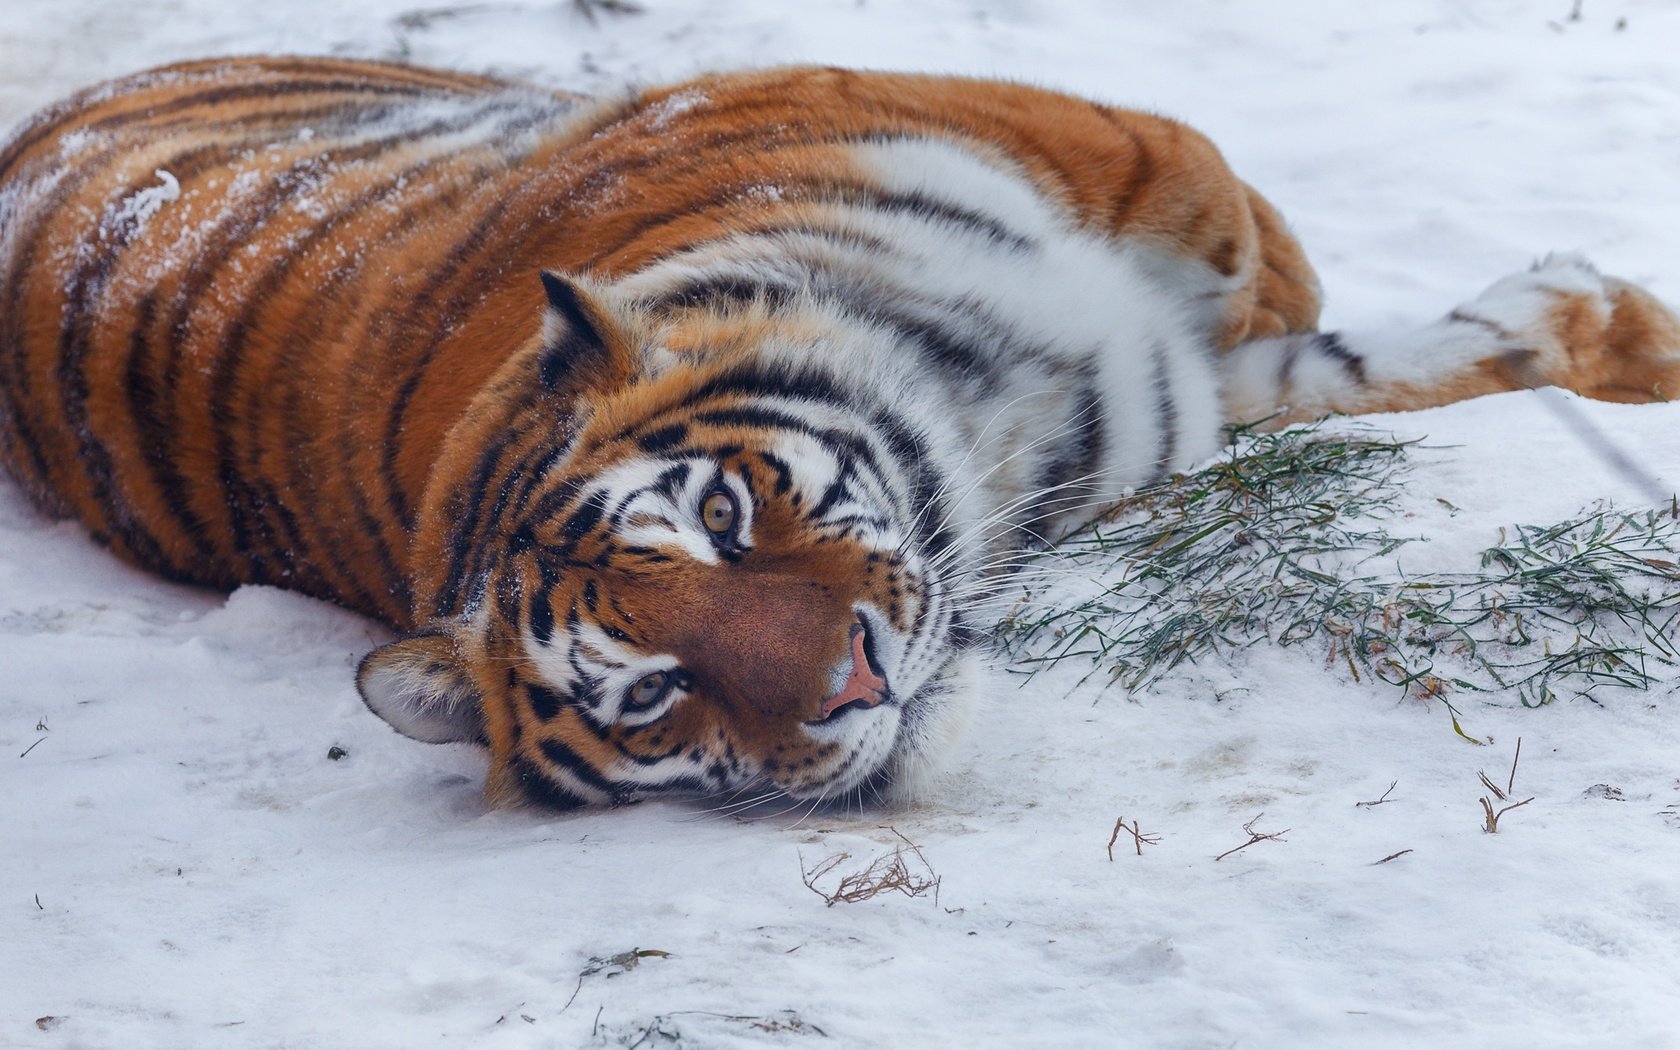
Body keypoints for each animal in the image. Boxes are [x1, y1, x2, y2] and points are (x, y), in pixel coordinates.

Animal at [3, 57, 1680, 809]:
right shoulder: (1183, 401)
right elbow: (1354, 360)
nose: (854, 684)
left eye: (725, 519)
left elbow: (1284, 269)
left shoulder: (1124, 164)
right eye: (653, 694)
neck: (1007, 427)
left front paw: (1618, 329)